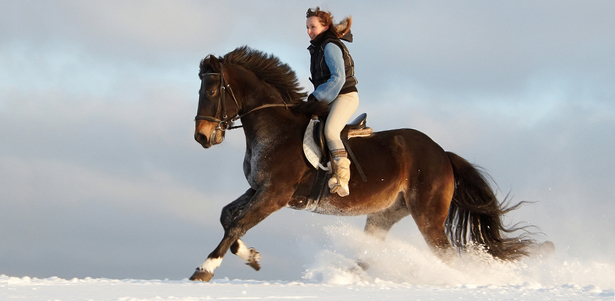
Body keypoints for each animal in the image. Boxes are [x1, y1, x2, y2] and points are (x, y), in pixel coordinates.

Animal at [189, 45, 536, 280]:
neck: (273, 127)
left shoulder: (275, 194)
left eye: (213, 90)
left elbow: (237, 223)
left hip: (427, 216)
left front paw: (204, 269)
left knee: (445, 254)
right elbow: (227, 216)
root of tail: (443, 154)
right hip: (386, 213)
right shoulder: (259, 188)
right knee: (371, 254)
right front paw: (252, 257)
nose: (202, 137)